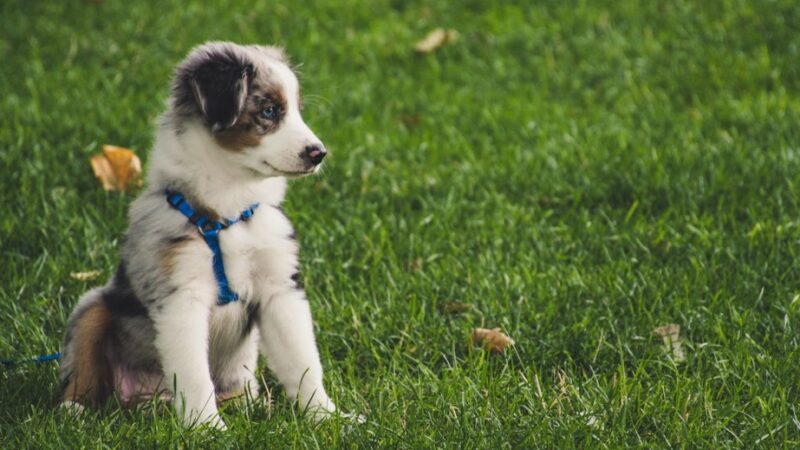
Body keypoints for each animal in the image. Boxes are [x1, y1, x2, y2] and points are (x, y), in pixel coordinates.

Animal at [56, 42, 344, 428]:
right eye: (269, 110)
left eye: (298, 111)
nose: (319, 154)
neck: (229, 211)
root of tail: (146, 397)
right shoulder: (181, 296)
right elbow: (193, 373)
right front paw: (207, 428)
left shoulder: (280, 289)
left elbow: (303, 361)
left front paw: (329, 418)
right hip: (93, 306)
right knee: (83, 364)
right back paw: (74, 408)